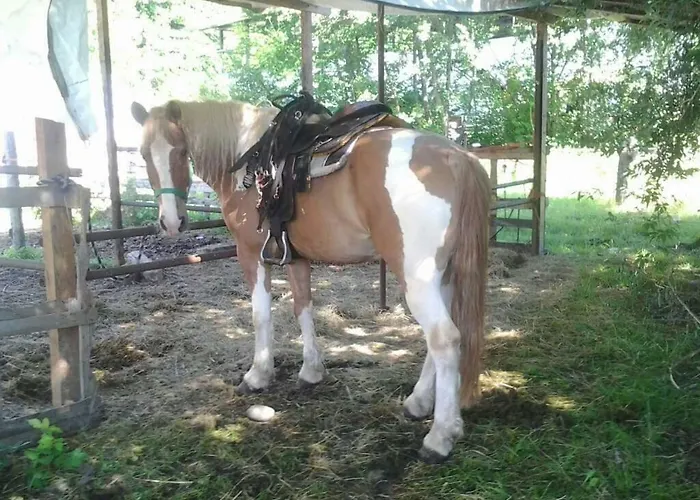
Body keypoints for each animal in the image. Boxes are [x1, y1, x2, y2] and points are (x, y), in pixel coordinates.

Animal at [129, 96, 491, 463]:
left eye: (178, 151)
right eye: (144, 153)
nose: (171, 223)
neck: (249, 159)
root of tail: (456, 158)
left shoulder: (251, 254)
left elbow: (261, 316)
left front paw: (258, 375)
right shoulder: (295, 257)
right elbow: (303, 308)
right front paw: (311, 371)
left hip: (416, 278)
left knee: (444, 339)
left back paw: (440, 437)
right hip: (441, 277)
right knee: (442, 339)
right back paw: (418, 403)